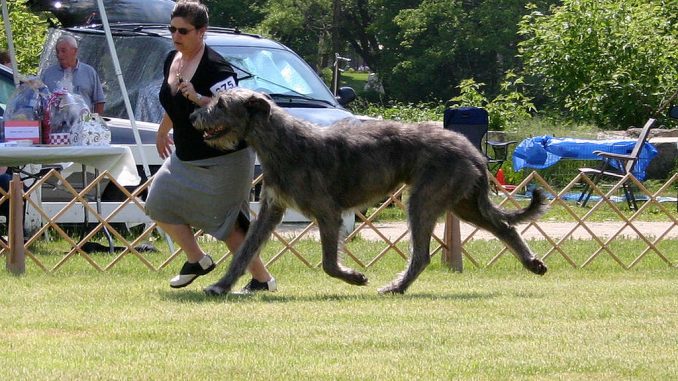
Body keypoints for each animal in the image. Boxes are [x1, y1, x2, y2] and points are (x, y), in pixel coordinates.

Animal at [189, 88, 548, 294]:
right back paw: (532, 263)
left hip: (424, 198)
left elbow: (329, 263)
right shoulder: (271, 209)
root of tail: (472, 149)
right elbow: (245, 251)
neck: (280, 142)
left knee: (422, 253)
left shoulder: (327, 212)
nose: (193, 114)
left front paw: (354, 277)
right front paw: (220, 286)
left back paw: (397, 287)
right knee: (503, 227)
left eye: (220, 103)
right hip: (463, 202)